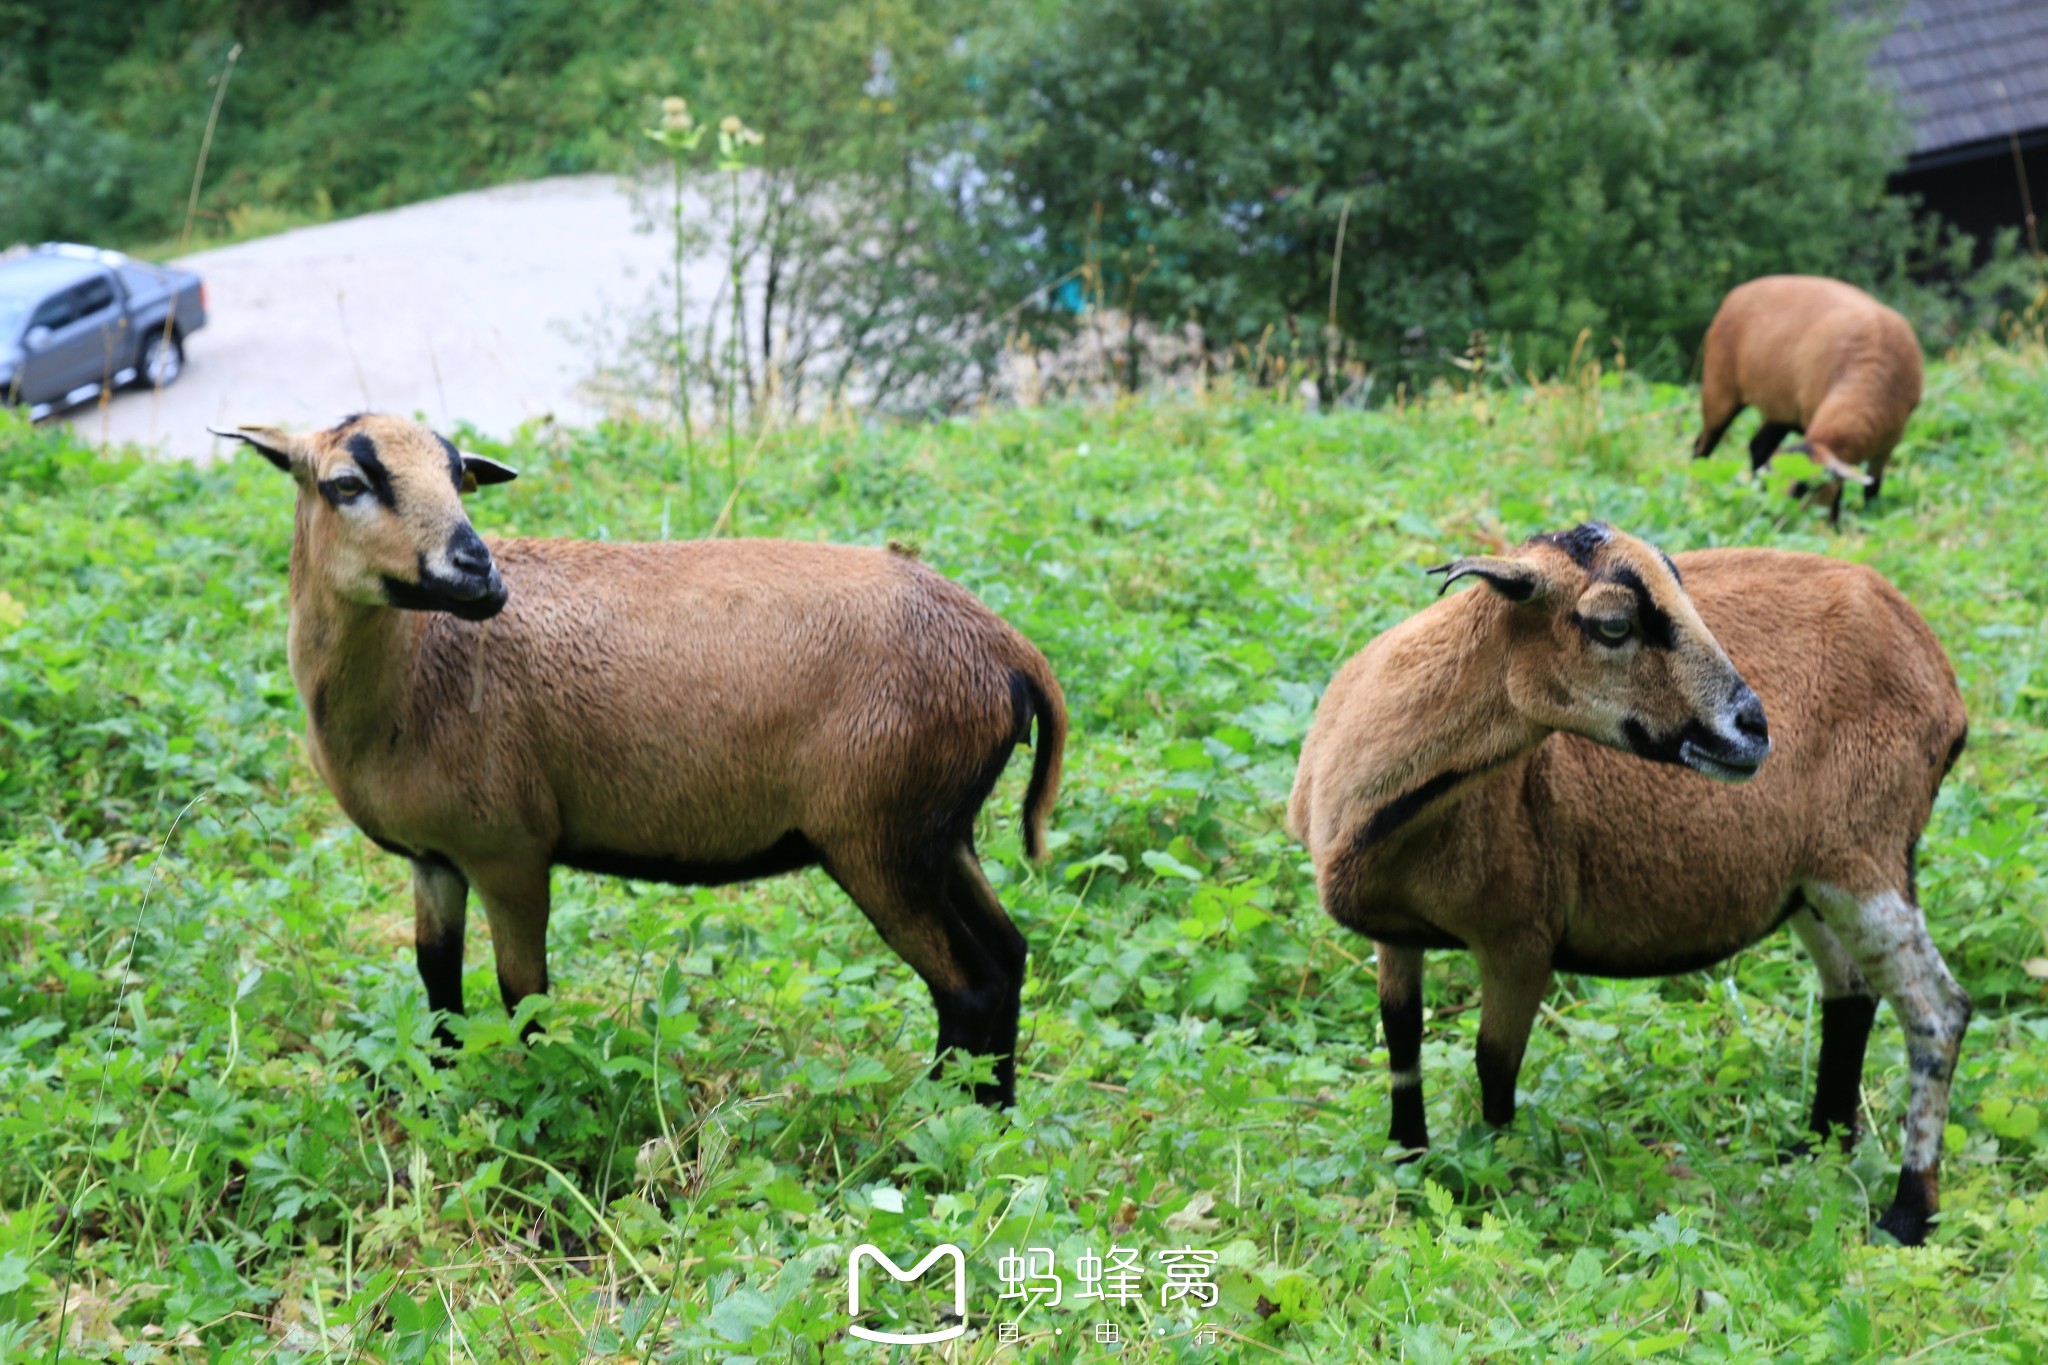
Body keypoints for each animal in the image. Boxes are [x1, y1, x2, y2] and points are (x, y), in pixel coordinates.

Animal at [209, 411, 1073, 1105]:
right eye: (346, 483)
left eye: (460, 477)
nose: (477, 569)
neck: (415, 675)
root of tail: (1006, 650)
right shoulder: (434, 859)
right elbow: (440, 986)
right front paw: (439, 1097)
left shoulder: (510, 850)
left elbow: (525, 997)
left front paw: (541, 1109)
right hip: (939, 830)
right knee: (1008, 957)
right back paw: (993, 1115)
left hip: (878, 833)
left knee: (968, 984)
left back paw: (939, 1119)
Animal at [1286, 523, 1974, 1252]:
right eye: (1613, 626)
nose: (1754, 728)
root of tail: (1934, 666)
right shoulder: (1394, 933)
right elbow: (1402, 1042)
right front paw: (1406, 1164)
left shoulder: (1520, 936)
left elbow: (1494, 1062)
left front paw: (1495, 1176)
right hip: (1812, 875)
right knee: (1853, 991)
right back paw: (1815, 1151)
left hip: (1866, 847)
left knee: (1939, 1010)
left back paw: (1907, 1213)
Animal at [1695, 274, 1916, 527]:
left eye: (1804, 487)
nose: (1773, 520)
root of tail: (1737, 293)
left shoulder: (1888, 446)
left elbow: (1871, 491)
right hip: (1718, 388)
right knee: (1703, 445)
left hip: (1780, 410)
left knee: (1758, 446)